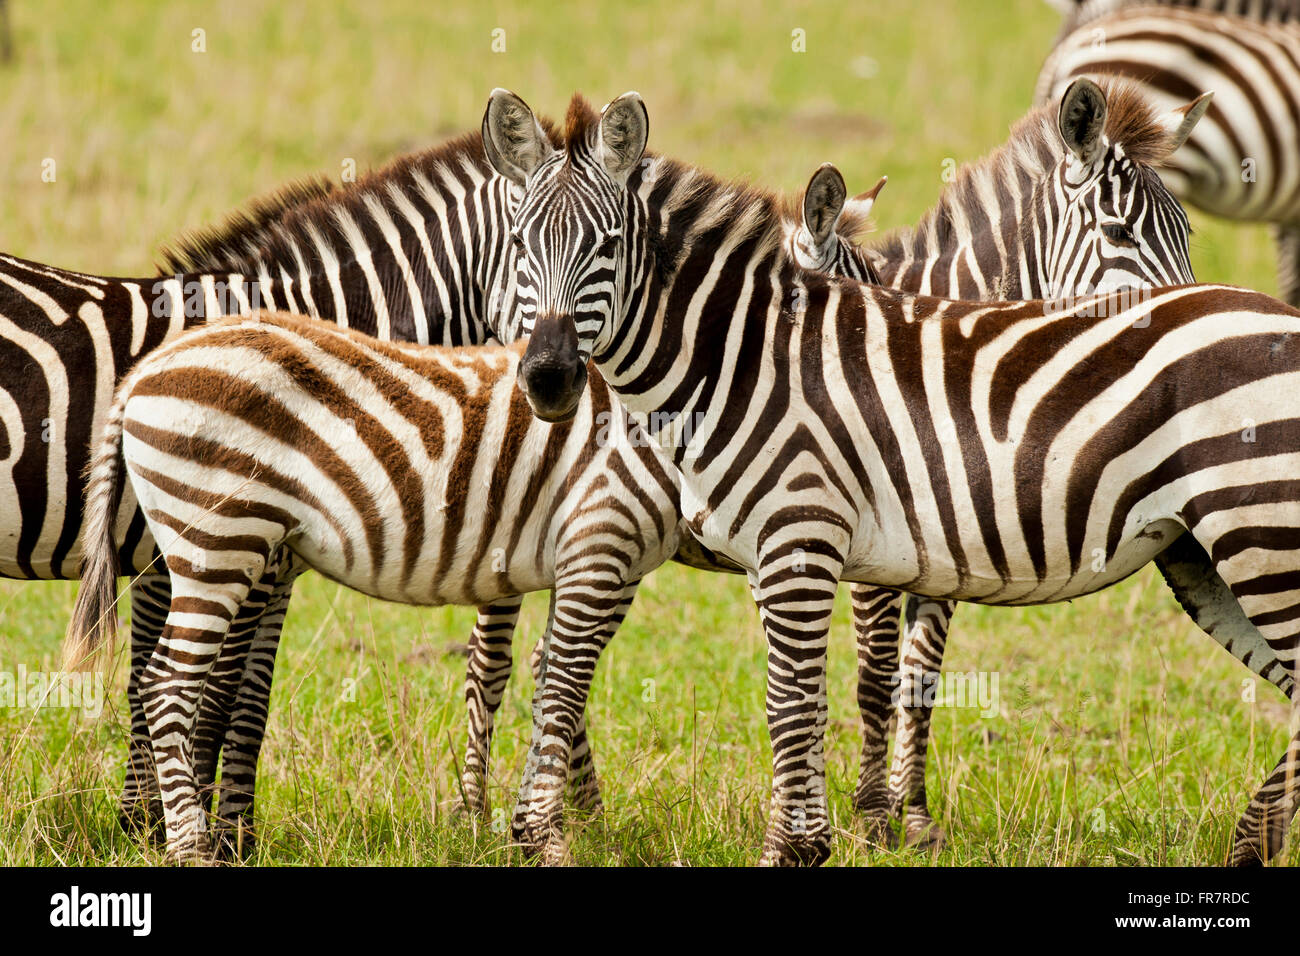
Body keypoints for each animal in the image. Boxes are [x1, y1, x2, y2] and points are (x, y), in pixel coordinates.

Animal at [486, 87, 1300, 868]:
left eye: (607, 246)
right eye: (519, 243)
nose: (550, 377)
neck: (743, 357)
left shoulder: (829, 545)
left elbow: (855, 688)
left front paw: (863, 829)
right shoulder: (844, 551)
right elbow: (843, 690)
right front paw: (872, 824)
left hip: (1254, 537)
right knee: (558, 661)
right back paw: (551, 827)